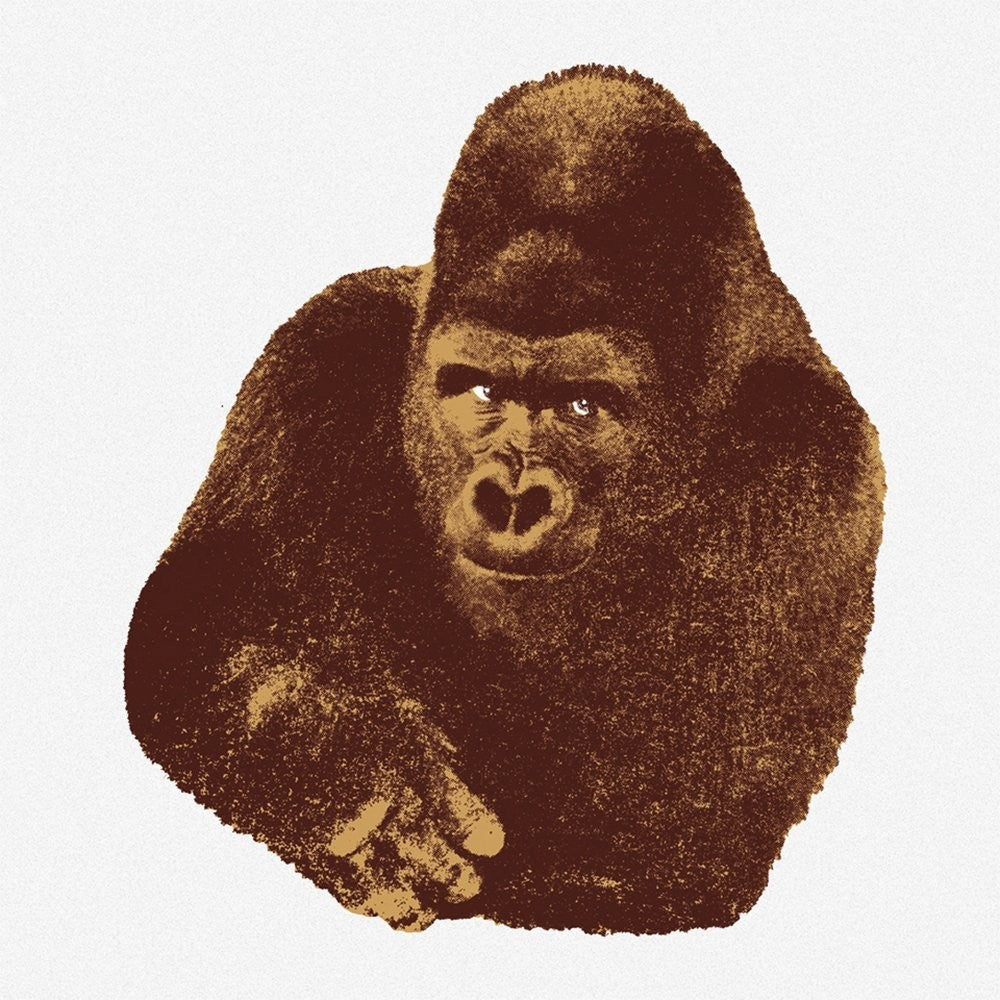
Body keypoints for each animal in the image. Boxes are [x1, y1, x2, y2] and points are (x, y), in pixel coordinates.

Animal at [125, 65, 884, 934]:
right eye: (480, 390)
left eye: (584, 406)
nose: (511, 500)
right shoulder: (319, 344)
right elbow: (193, 616)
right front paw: (330, 751)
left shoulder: (817, 467)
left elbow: (659, 844)